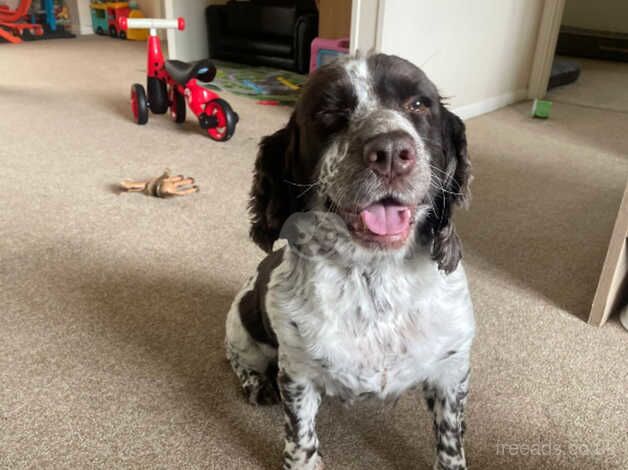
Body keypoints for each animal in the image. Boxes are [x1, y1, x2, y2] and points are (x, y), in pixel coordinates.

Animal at [223, 52, 474, 470]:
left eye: (418, 104)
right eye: (328, 111)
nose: (390, 152)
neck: (375, 275)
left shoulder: (451, 371)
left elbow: (450, 442)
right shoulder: (298, 375)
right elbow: (301, 441)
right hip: (242, 325)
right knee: (238, 357)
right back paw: (255, 383)